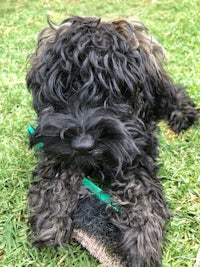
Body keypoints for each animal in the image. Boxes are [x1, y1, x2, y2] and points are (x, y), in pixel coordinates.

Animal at [26, 17, 198, 267]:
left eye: (114, 94)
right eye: (65, 90)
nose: (83, 145)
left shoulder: (138, 145)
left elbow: (140, 185)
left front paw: (142, 238)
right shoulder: (52, 136)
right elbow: (56, 166)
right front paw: (52, 215)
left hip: (161, 91)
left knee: (174, 93)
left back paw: (183, 114)